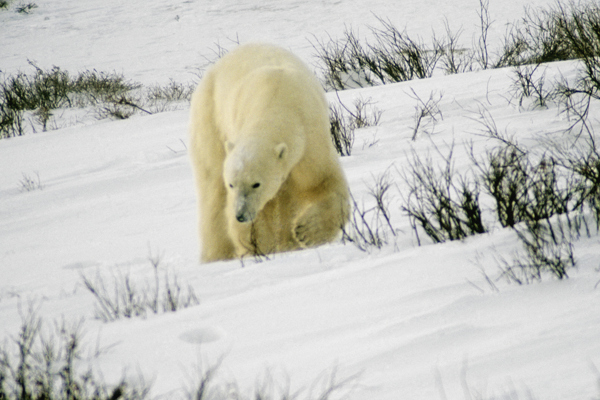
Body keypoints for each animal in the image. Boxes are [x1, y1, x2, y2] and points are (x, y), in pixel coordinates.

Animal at [190, 43, 350, 262]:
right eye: (232, 184)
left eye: (256, 184)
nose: (241, 215)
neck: (276, 99)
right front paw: (256, 246)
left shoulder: (310, 138)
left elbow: (322, 181)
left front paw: (305, 232)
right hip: (210, 119)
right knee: (213, 187)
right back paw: (217, 255)